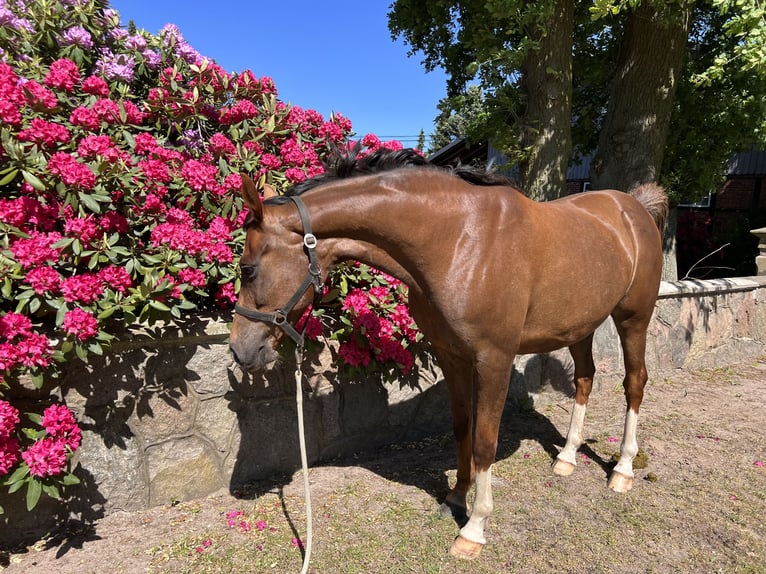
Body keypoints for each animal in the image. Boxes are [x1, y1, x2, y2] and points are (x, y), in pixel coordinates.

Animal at [231, 150, 668, 564]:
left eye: (248, 268)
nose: (240, 349)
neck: (459, 240)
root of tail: (634, 208)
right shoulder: (451, 355)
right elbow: (462, 429)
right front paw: (457, 497)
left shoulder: (494, 360)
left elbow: (485, 442)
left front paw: (473, 529)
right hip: (580, 326)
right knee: (584, 379)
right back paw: (566, 457)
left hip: (633, 319)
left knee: (634, 382)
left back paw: (623, 469)